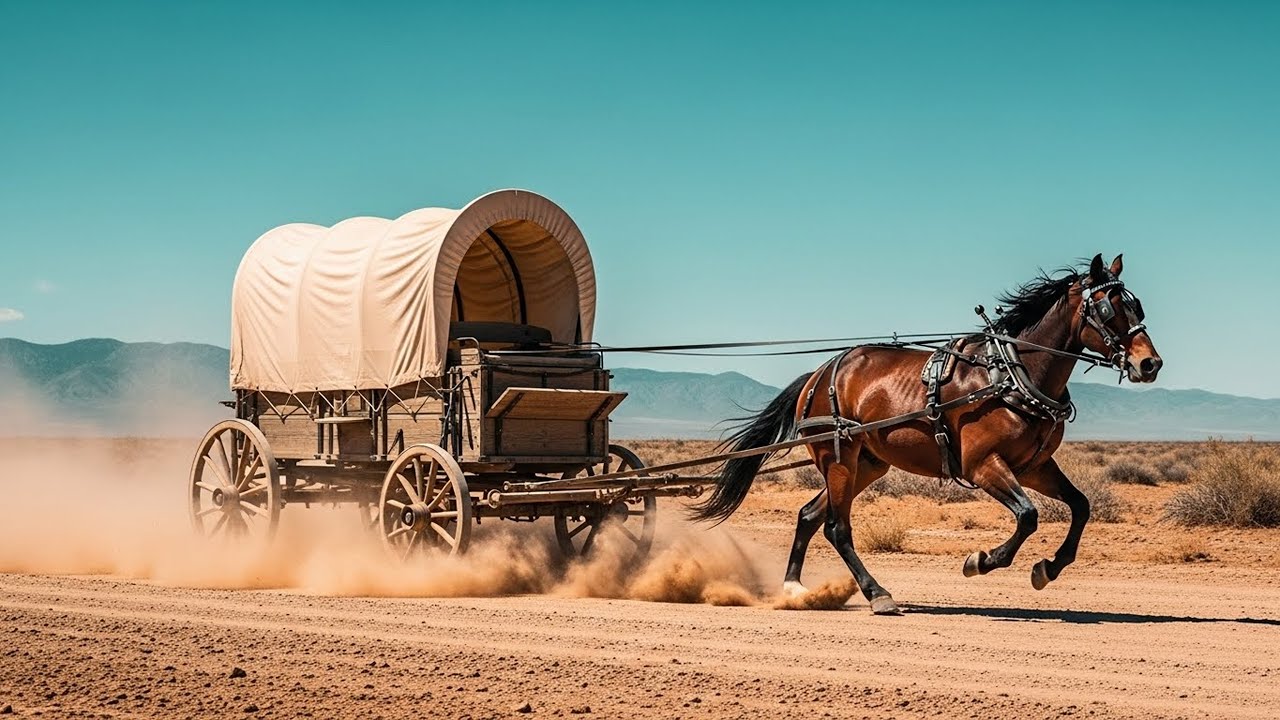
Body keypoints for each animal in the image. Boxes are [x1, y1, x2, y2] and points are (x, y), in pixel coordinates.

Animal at [690, 254, 1162, 615]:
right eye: (1108, 308)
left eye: (1137, 307)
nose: (1150, 364)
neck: (1011, 376)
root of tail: (819, 374)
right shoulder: (982, 465)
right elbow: (1028, 516)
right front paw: (981, 560)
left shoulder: (1034, 466)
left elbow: (1081, 506)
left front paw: (1048, 568)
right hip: (838, 459)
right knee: (836, 528)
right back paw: (878, 595)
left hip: (868, 464)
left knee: (808, 516)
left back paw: (793, 589)